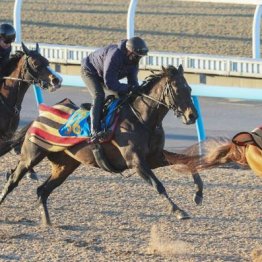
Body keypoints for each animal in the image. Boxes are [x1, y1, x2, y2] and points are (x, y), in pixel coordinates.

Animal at [0, 65, 203, 225]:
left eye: (189, 88)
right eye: (177, 89)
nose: (192, 115)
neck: (143, 119)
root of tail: (39, 116)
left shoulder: (155, 157)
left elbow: (187, 160)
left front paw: (198, 194)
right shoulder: (136, 161)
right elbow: (158, 184)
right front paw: (178, 211)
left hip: (65, 165)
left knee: (42, 190)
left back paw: (47, 222)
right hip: (32, 156)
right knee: (13, 179)